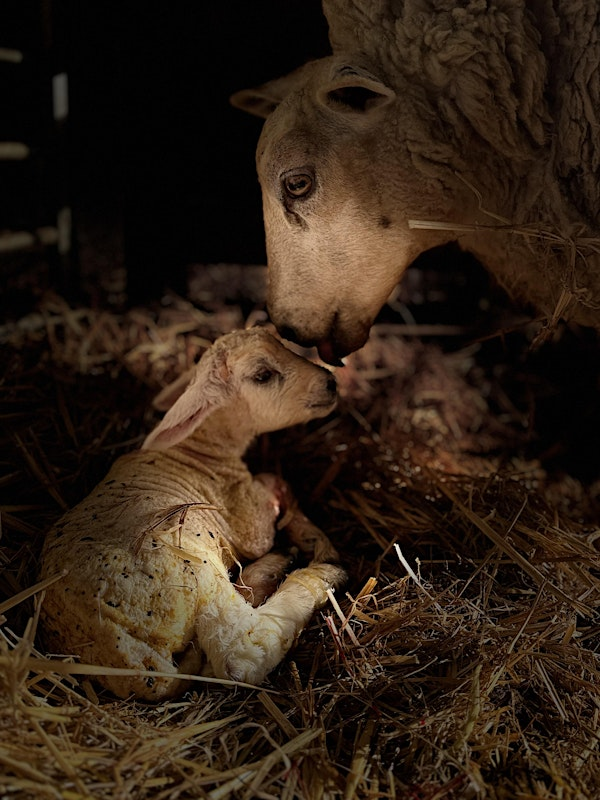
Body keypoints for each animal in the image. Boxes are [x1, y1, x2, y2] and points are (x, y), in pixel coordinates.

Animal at [38, 328, 346, 701]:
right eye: (262, 375)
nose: (331, 383)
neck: (200, 450)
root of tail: (118, 648)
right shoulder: (248, 520)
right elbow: (275, 490)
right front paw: (305, 532)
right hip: (195, 572)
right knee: (242, 653)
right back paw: (317, 573)